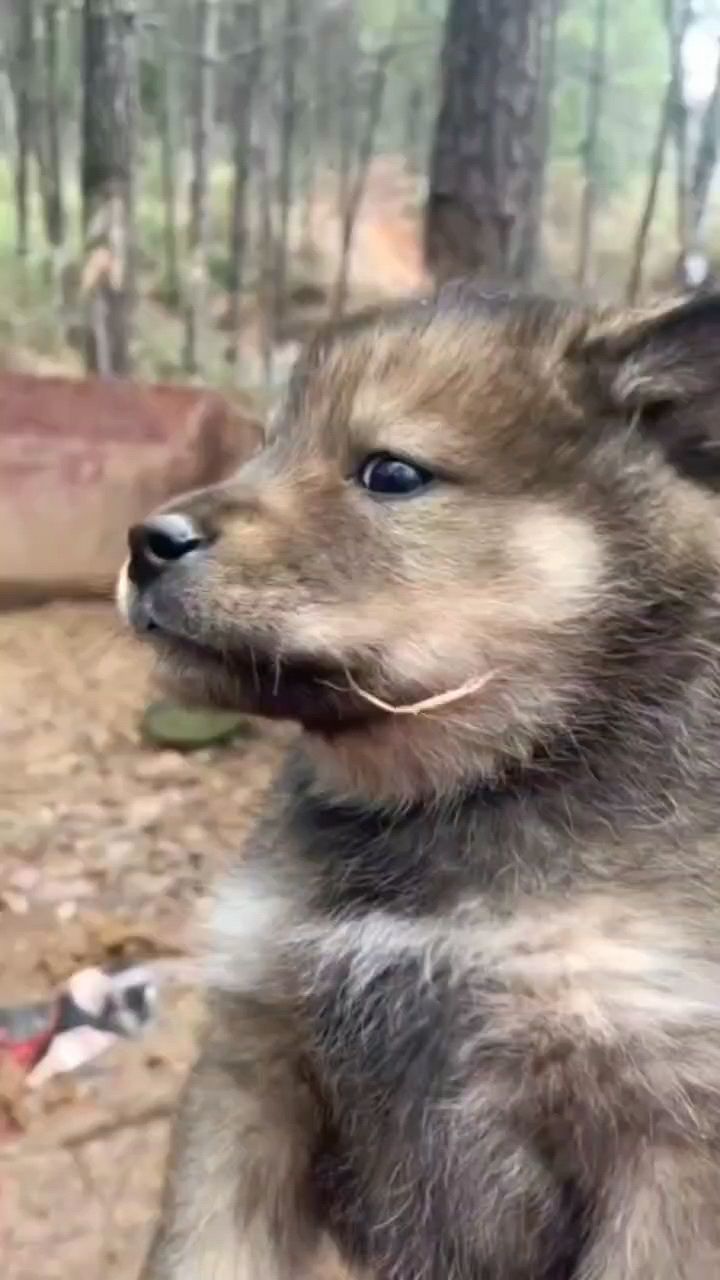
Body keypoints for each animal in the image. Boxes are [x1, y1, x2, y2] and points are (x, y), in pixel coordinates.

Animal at [117, 285, 720, 1274]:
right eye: (267, 445)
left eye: (391, 474)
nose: (145, 541)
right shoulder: (253, 1064)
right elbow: (201, 1249)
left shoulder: (666, 1142)